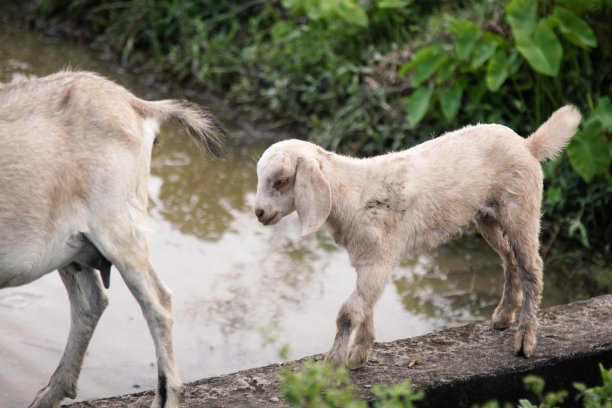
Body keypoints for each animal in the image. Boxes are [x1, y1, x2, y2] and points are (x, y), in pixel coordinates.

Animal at [0, 71, 225, 408]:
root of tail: (138, 105)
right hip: (73, 247)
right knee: (91, 302)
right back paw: (48, 395)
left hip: (118, 229)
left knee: (158, 303)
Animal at [256, 106, 580, 370]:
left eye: (283, 180)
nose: (259, 212)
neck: (352, 193)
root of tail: (528, 144)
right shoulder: (366, 259)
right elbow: (365, 307)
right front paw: (358, 355)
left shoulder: (379, 258)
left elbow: (348, 312)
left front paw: (332, 366)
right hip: (486, 216)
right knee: (508, 258)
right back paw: (502, 316)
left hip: (521, 207)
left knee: (532, 267)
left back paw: (524, 341)